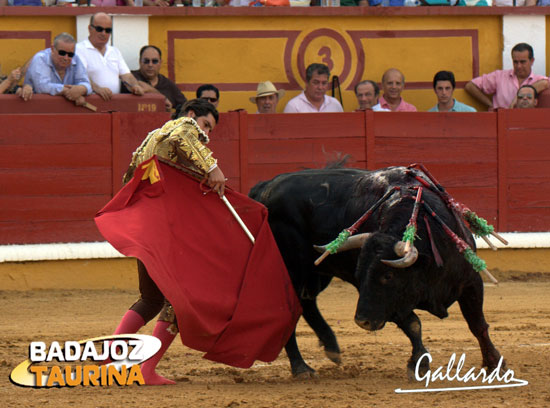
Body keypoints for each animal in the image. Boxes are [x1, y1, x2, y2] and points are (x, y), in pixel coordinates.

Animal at [250, 166, 504, 380]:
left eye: (387, 276)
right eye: (360, 276)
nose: (361, 321)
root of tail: (265, 187)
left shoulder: (470, 281)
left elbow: (477, 324)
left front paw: (494, 364)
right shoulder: (389, 302)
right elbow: (413, 324)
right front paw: (418, 364)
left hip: (317, 273)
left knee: (307, 303)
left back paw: (331, 347)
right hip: (291, 269)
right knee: (290, 310)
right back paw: (302, 368)